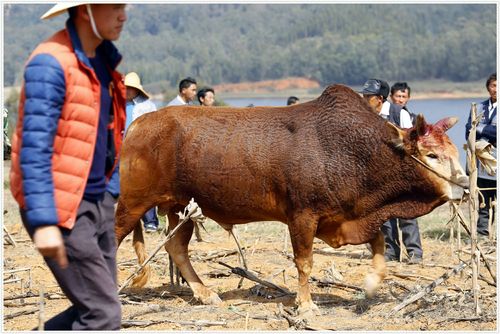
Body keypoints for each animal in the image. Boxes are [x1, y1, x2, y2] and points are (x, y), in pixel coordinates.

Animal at [114, 83, 468, 314]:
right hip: (133, 202)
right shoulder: (302, 215)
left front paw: (368, 285)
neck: (357, 151)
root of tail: (138, 125)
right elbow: (305, 262)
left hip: (181, 207)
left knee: (176, 247)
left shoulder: (349, 217)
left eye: (452, 150)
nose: (464, 184)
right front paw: (306, 304)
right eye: (432, 155)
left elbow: (379, 244)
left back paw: (204, 293)